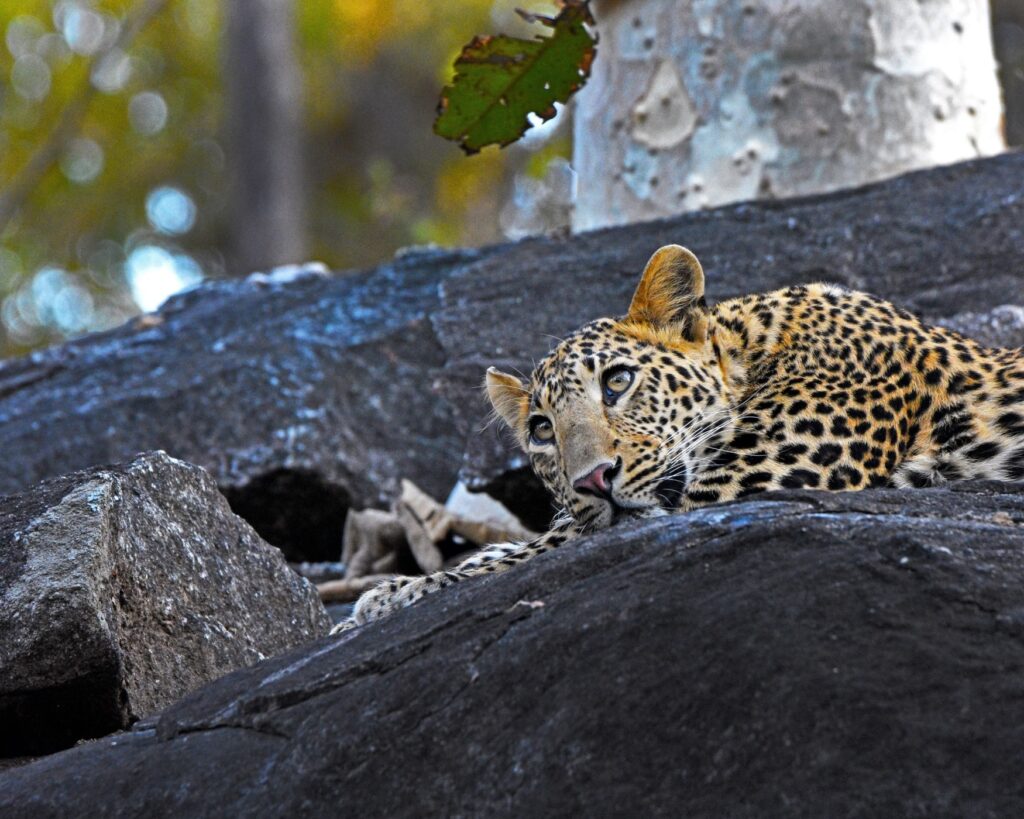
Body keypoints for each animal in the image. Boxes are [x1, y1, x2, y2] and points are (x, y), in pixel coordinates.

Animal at [333, 243, 1024, 634]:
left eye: (617, 382)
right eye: (541, 430)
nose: (592, 480)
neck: (751, 348)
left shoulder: (736, 486)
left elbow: (537, 551)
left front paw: (398, 594)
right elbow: (525, 545)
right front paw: (390, 592)